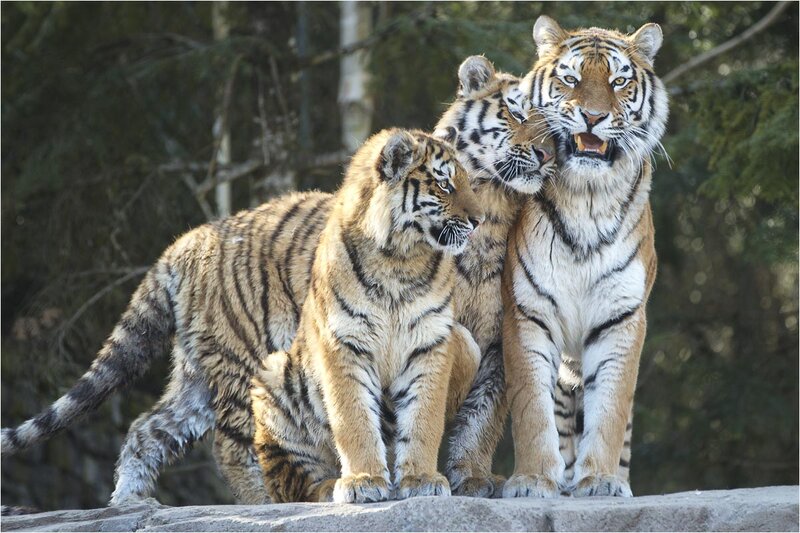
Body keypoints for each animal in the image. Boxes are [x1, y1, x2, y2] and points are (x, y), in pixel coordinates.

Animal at [250, 128, 484, 503]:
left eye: (467, 183)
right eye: (444, 184)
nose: (479, 221)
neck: (400, 260)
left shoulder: (431, 342)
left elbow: (424, 418)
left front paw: (421, 479)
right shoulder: (343, 343)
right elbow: (353, 419)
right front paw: (362, 481)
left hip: (466, 343)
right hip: (271, 375)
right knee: (294, 481)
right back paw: (329, 486)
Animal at [501, 16, 668, 499]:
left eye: (618, 82)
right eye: (571, 79)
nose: (593, 117)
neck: (586, 198)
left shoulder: (621, 316)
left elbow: (609, 407)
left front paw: (603, 481)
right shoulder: (527, 313)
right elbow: (532, 410)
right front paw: (533, 480)